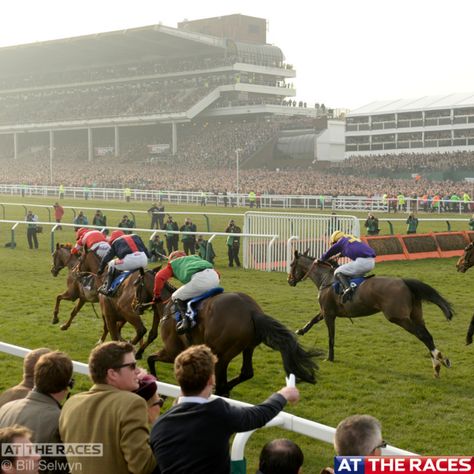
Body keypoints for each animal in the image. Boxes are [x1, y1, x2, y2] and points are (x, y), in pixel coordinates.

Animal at [131, 270, 320, 396]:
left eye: (136, 285)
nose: (135, 305)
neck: (168, 305)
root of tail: (251, 311)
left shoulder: (173, 351)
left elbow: (151, 359)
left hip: (222, 353)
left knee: (223, 381)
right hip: (248, 347)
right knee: (246, 373)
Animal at [286, 248, 454, 378]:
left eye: (292, 264)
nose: (290, 281)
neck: (326, 279)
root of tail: (404, 282)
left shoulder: (329, 314)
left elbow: (331, 337)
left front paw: (330, 357)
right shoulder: (326, 311)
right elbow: (313, 320)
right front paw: (301, 330)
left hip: (398, 317)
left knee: (422, 335)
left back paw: (438, 362)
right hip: (416, 316)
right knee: (428, 336)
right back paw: (438, 364)